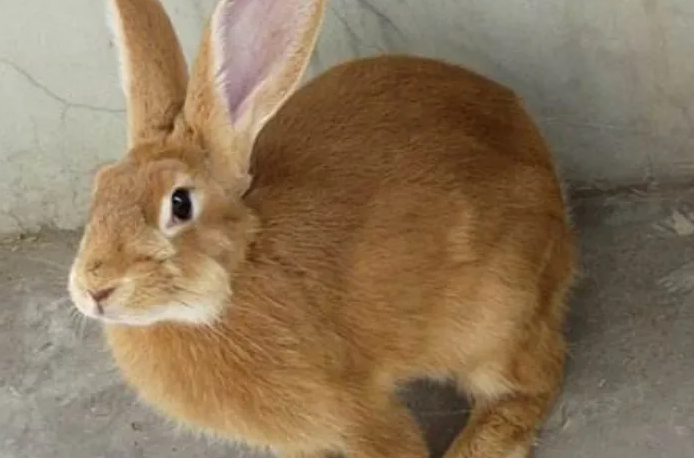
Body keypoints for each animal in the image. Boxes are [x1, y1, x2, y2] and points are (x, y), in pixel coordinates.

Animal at [67, 0, 577, 457]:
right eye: (100, 188)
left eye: (180, 203)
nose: (95, 289)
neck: (233, 282)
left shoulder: (354, 410)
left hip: (495, 319)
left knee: (534, 381)